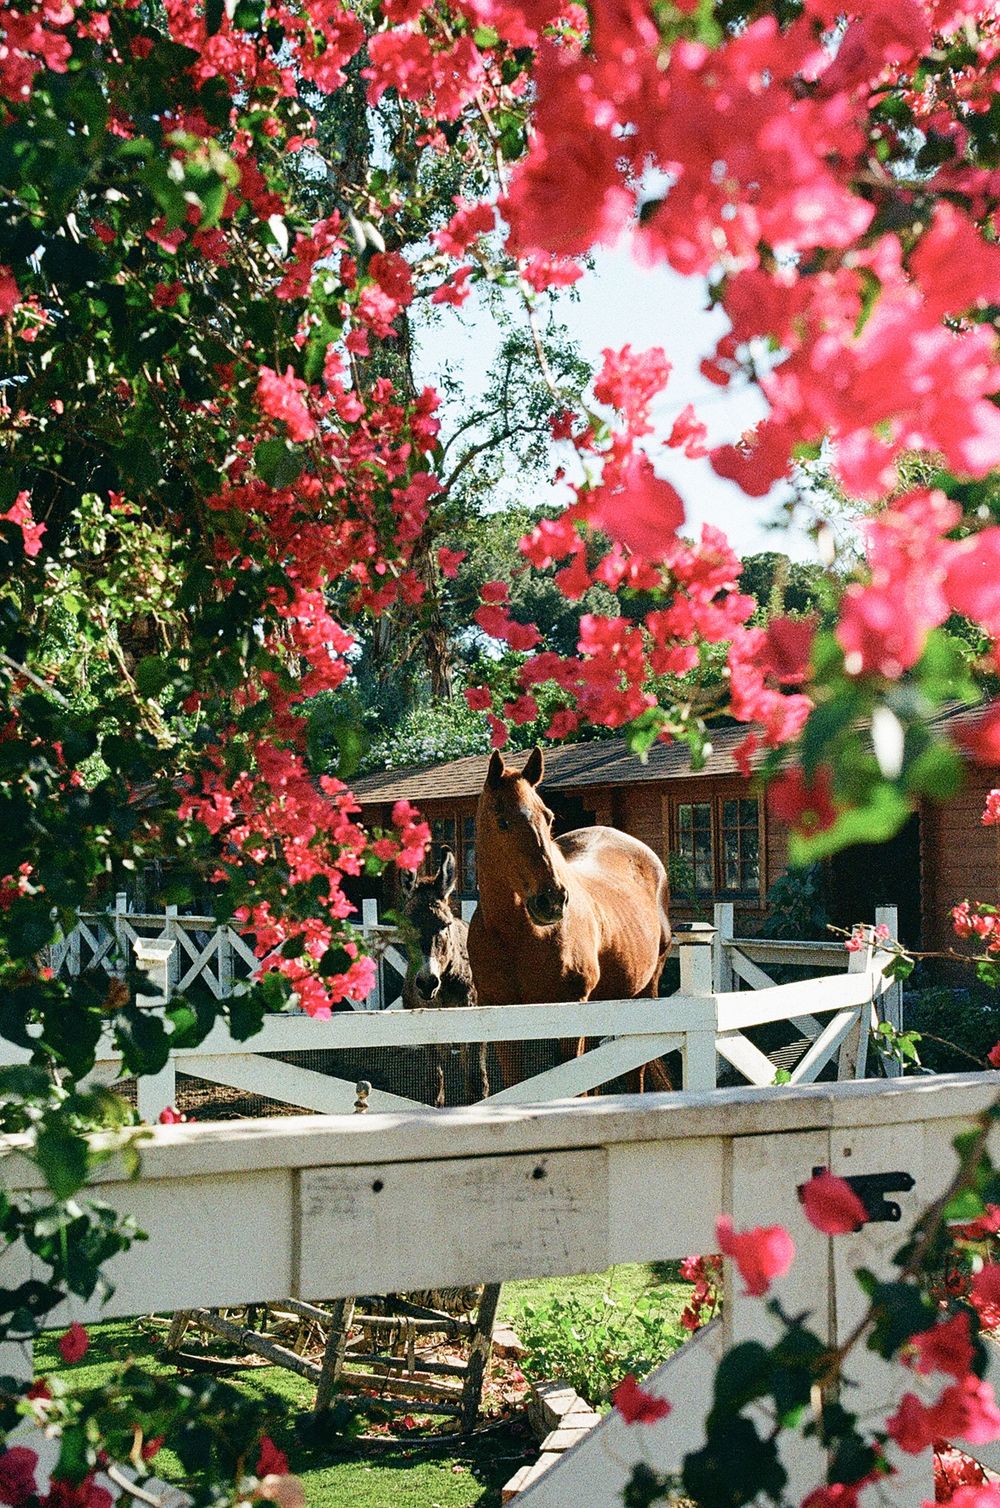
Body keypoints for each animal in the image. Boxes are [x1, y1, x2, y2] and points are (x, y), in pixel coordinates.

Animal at [399, 848, 489, 1108]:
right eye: (407, 926)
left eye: (444, 925)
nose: (427, 983)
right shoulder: (429, 1029)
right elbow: (434, 1084)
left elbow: (477, 1083)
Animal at [466, 746, 672, 1092]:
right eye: (503, 821)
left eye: (548, 817)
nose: (552, 900)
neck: (516, 936)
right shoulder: (500, 1015)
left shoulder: (571, 1008)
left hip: (644, 992)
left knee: (635, 1073)